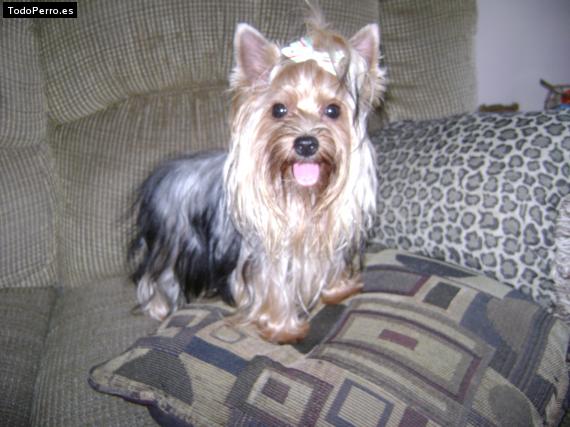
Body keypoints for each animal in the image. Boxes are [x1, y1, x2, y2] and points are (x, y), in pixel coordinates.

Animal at [129, 9, 386, 343]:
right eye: (278, 110)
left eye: (333, 110)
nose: (306, 143)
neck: (301, 197)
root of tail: (163, 172)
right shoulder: (268, 255)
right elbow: (274, 286)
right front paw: (283, 328)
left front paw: (338, 289)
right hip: (171, 242)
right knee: (158, 277)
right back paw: (159, 308)